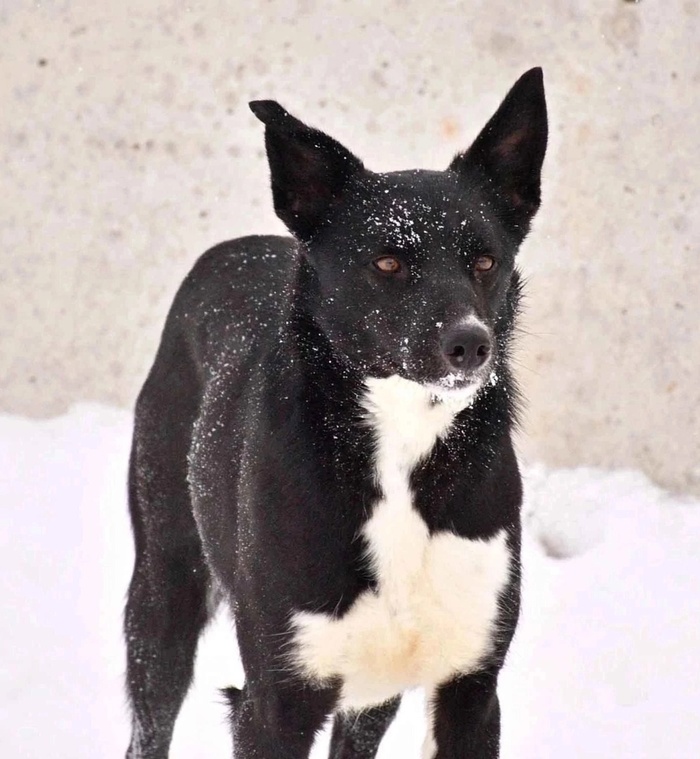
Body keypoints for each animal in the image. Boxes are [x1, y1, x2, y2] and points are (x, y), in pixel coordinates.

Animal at [124, 68, 548, 759]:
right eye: (387, 262)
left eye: (485, 261)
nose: (471, 344)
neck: (404, 440)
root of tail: (233, 248)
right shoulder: (276, 702)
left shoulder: (472, 689)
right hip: (164, 584)